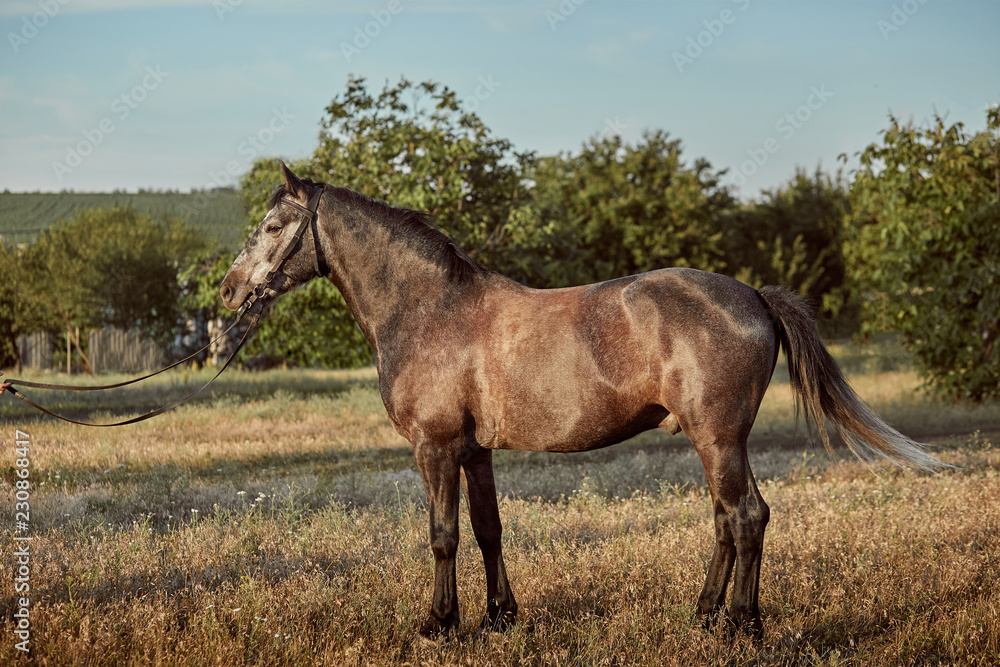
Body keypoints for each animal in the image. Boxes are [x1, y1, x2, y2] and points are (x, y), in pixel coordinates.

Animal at [221, 162, 944, 640]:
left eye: (273, 225)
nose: (229, 290)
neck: (431, 310)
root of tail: (755, 296)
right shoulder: (474, 450)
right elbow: (487, 528)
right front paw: (500, 617)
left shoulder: (436, 448)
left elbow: (443, 535)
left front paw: (439, 623)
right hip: (714, 441)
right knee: (725, 520)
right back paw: (704, 614)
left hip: (719, 438)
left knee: (747, 517)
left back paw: (742, 625)